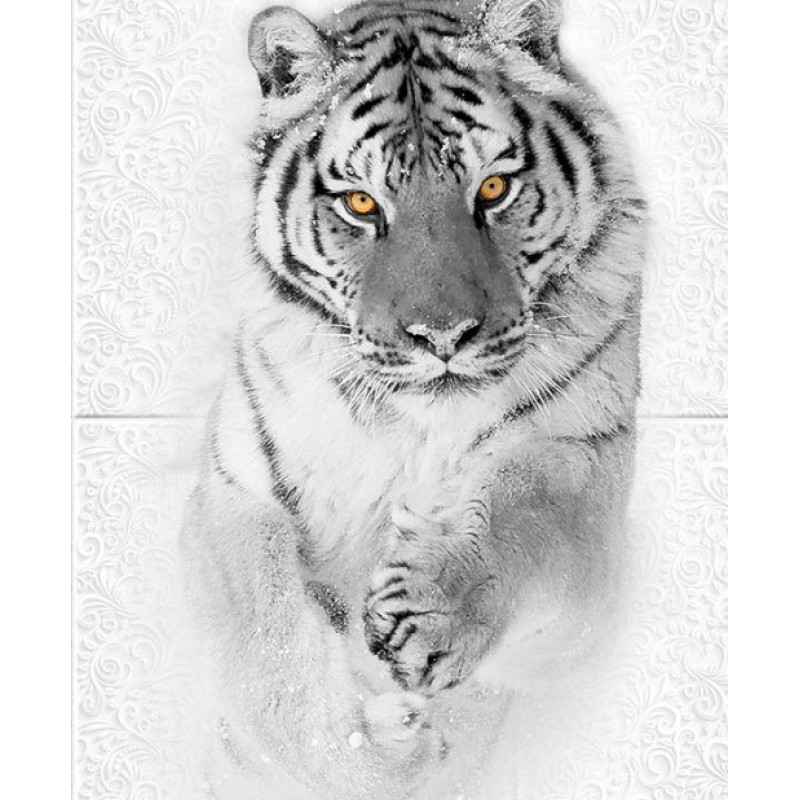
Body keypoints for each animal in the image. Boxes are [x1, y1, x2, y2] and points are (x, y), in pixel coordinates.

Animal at [180, 0, 648, 797]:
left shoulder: (589, 486)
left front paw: (428, 614)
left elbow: (529, 510)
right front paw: (378, 752)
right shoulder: (235, 490)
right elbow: (268, 646)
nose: (443, 334)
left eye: (492, 189)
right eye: (362, 203)